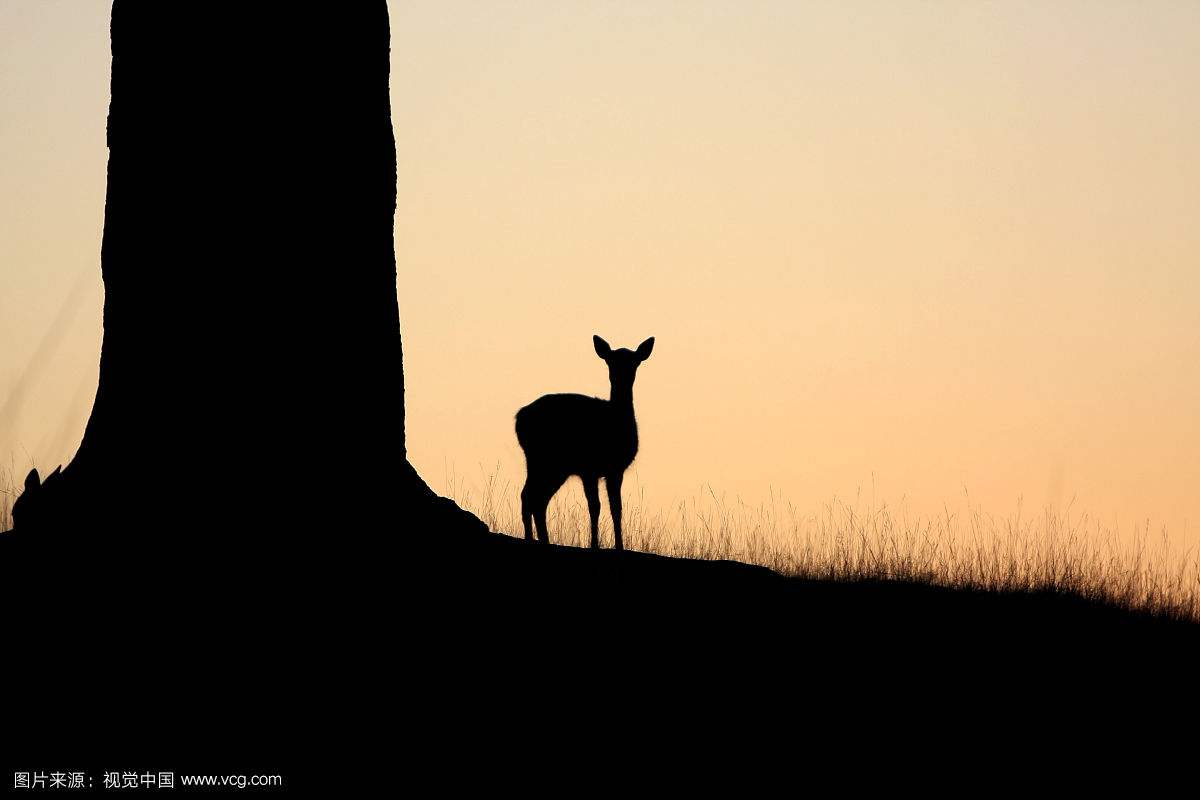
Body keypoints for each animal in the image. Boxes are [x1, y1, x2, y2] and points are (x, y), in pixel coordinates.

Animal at [511, 333, 652, 551]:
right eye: (610, 360)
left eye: (634, 361)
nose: (621, 376)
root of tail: (519, 418)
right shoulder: (589, 468)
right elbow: (595, 506)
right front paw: (594, 544)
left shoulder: (615, 469)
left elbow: (616, 507)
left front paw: (619, 546)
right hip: (542, 459)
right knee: (530, 496)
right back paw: (532, 539)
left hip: (552, 466)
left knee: (536, 498)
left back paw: (541, 539)